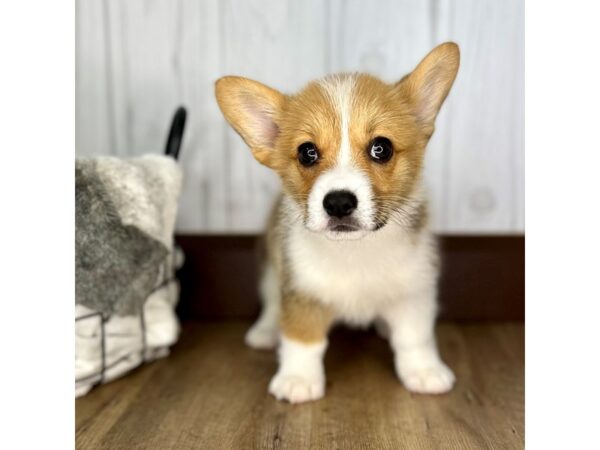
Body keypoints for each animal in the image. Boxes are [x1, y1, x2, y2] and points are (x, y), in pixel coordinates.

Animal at [216, 42, 460, 402]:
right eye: (307, 153)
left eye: (381, 148)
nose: (339, 203)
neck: (354, 251)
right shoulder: (301, 290)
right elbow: (302, 339)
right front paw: (298, 379)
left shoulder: (414, 289)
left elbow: (414, 337)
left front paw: (424, 371)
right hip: (272, 263)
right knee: (271, 298)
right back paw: (265, 330)